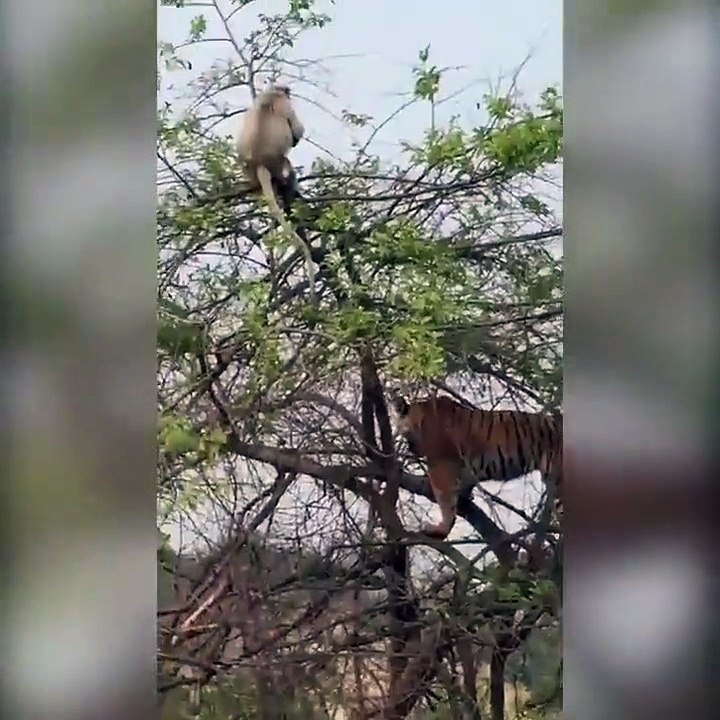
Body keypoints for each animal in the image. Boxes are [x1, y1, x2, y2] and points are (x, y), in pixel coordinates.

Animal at [236, 85, 315, 298]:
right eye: (287, 92)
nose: (289, 91)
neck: (271, 93)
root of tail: (259, 164)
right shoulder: (284, 104)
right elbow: (296, 132)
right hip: (278, 164)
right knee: (287, 172)